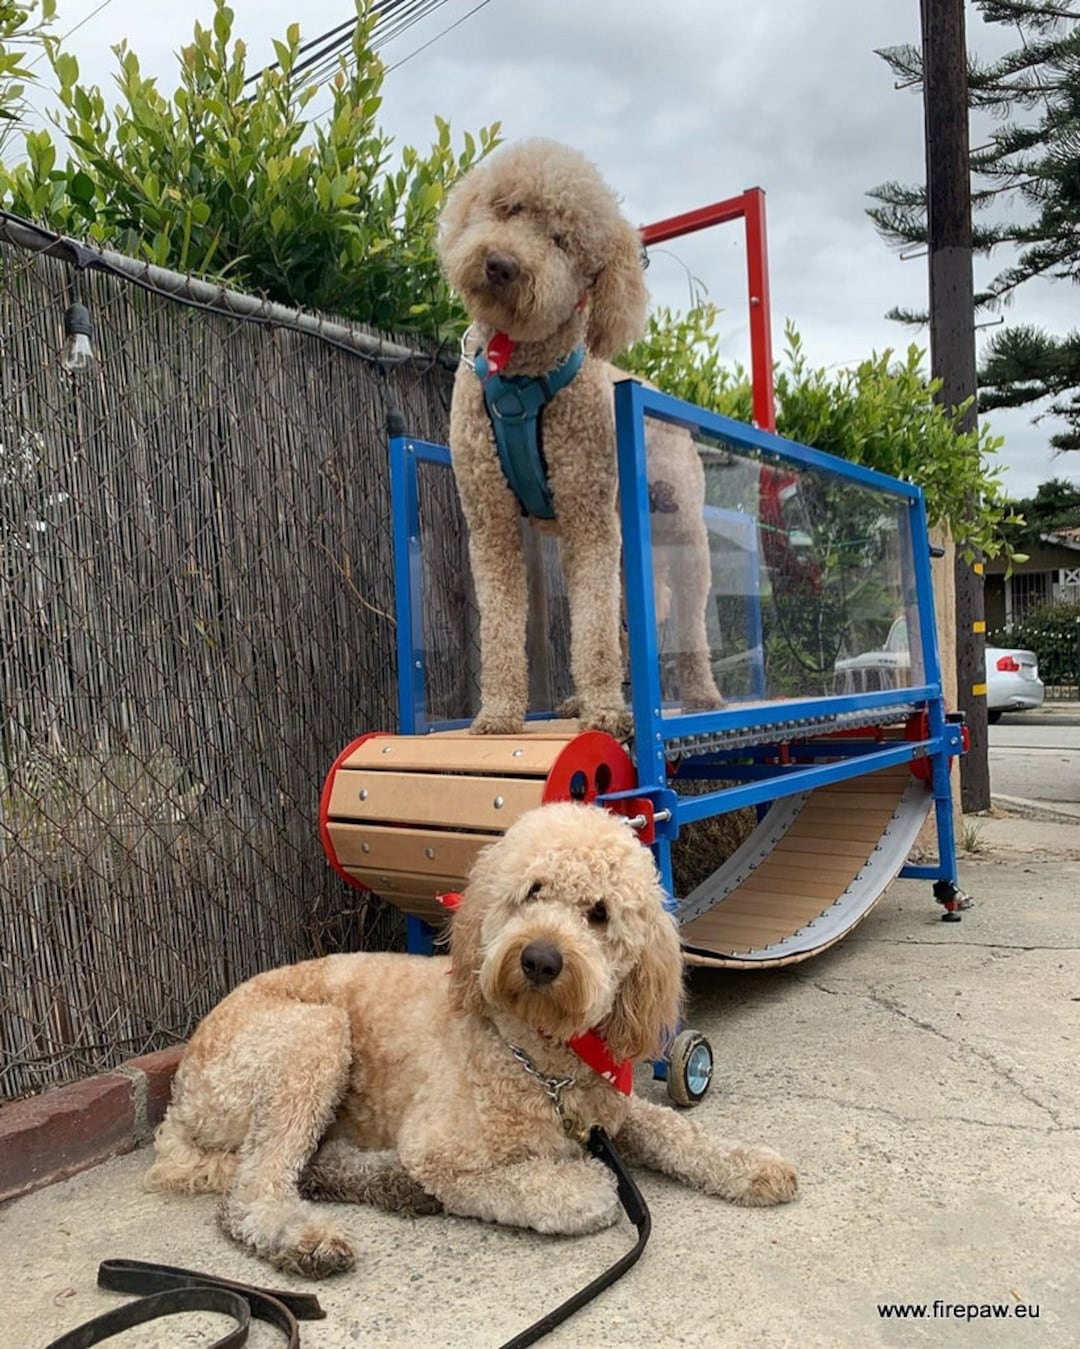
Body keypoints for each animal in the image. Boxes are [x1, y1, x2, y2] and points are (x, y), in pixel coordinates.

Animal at [145, 798, 792, 1273]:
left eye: (599, 913)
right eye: (532, 891)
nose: (539, 959)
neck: (541, 1058)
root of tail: (177, 1100)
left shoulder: (613, 1111)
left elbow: (677, 1132)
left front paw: (751, 1164)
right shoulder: (442, 1151)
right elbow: (572, 1188)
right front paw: (583, 1181)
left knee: (306, 1164)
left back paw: (390, 1185)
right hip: (314, 1036)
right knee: (256, 1189)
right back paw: (307, 1238)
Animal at [436, 136, 722, 739]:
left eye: (562, 242)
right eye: (508, 208)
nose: (500, 264)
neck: (519, 378)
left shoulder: (588, 516)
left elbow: (591, 628)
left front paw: (606, 713)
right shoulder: (491, 521)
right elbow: (501, 627)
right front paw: (499, 713)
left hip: (682, 533)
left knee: (686, 617)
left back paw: (701, 694)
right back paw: (580, 702)